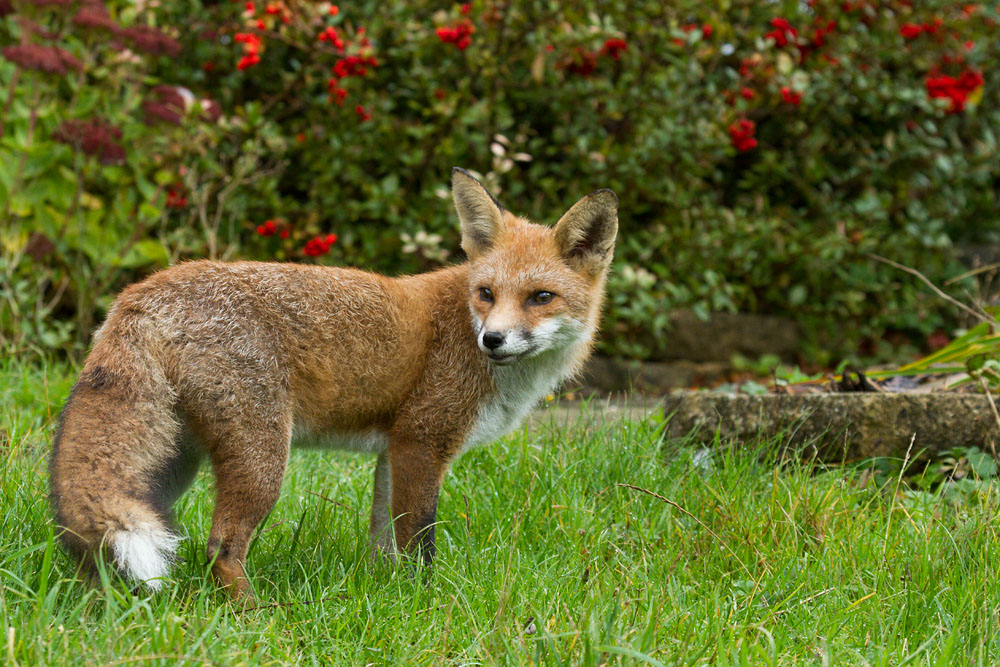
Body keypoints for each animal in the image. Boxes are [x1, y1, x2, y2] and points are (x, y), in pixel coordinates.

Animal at [49, 168, 618, 599]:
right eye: (486, 293)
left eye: (540, 297)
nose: (493, 339)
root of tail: (142, 291)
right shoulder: (423, 442)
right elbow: (420, 541)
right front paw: (426, 601)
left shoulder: (395, 447)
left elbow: (384, 540)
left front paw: (388, 595)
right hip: (261, 457)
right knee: (220, 548)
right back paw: (255, 616)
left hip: (171, 469)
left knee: (97, 543)